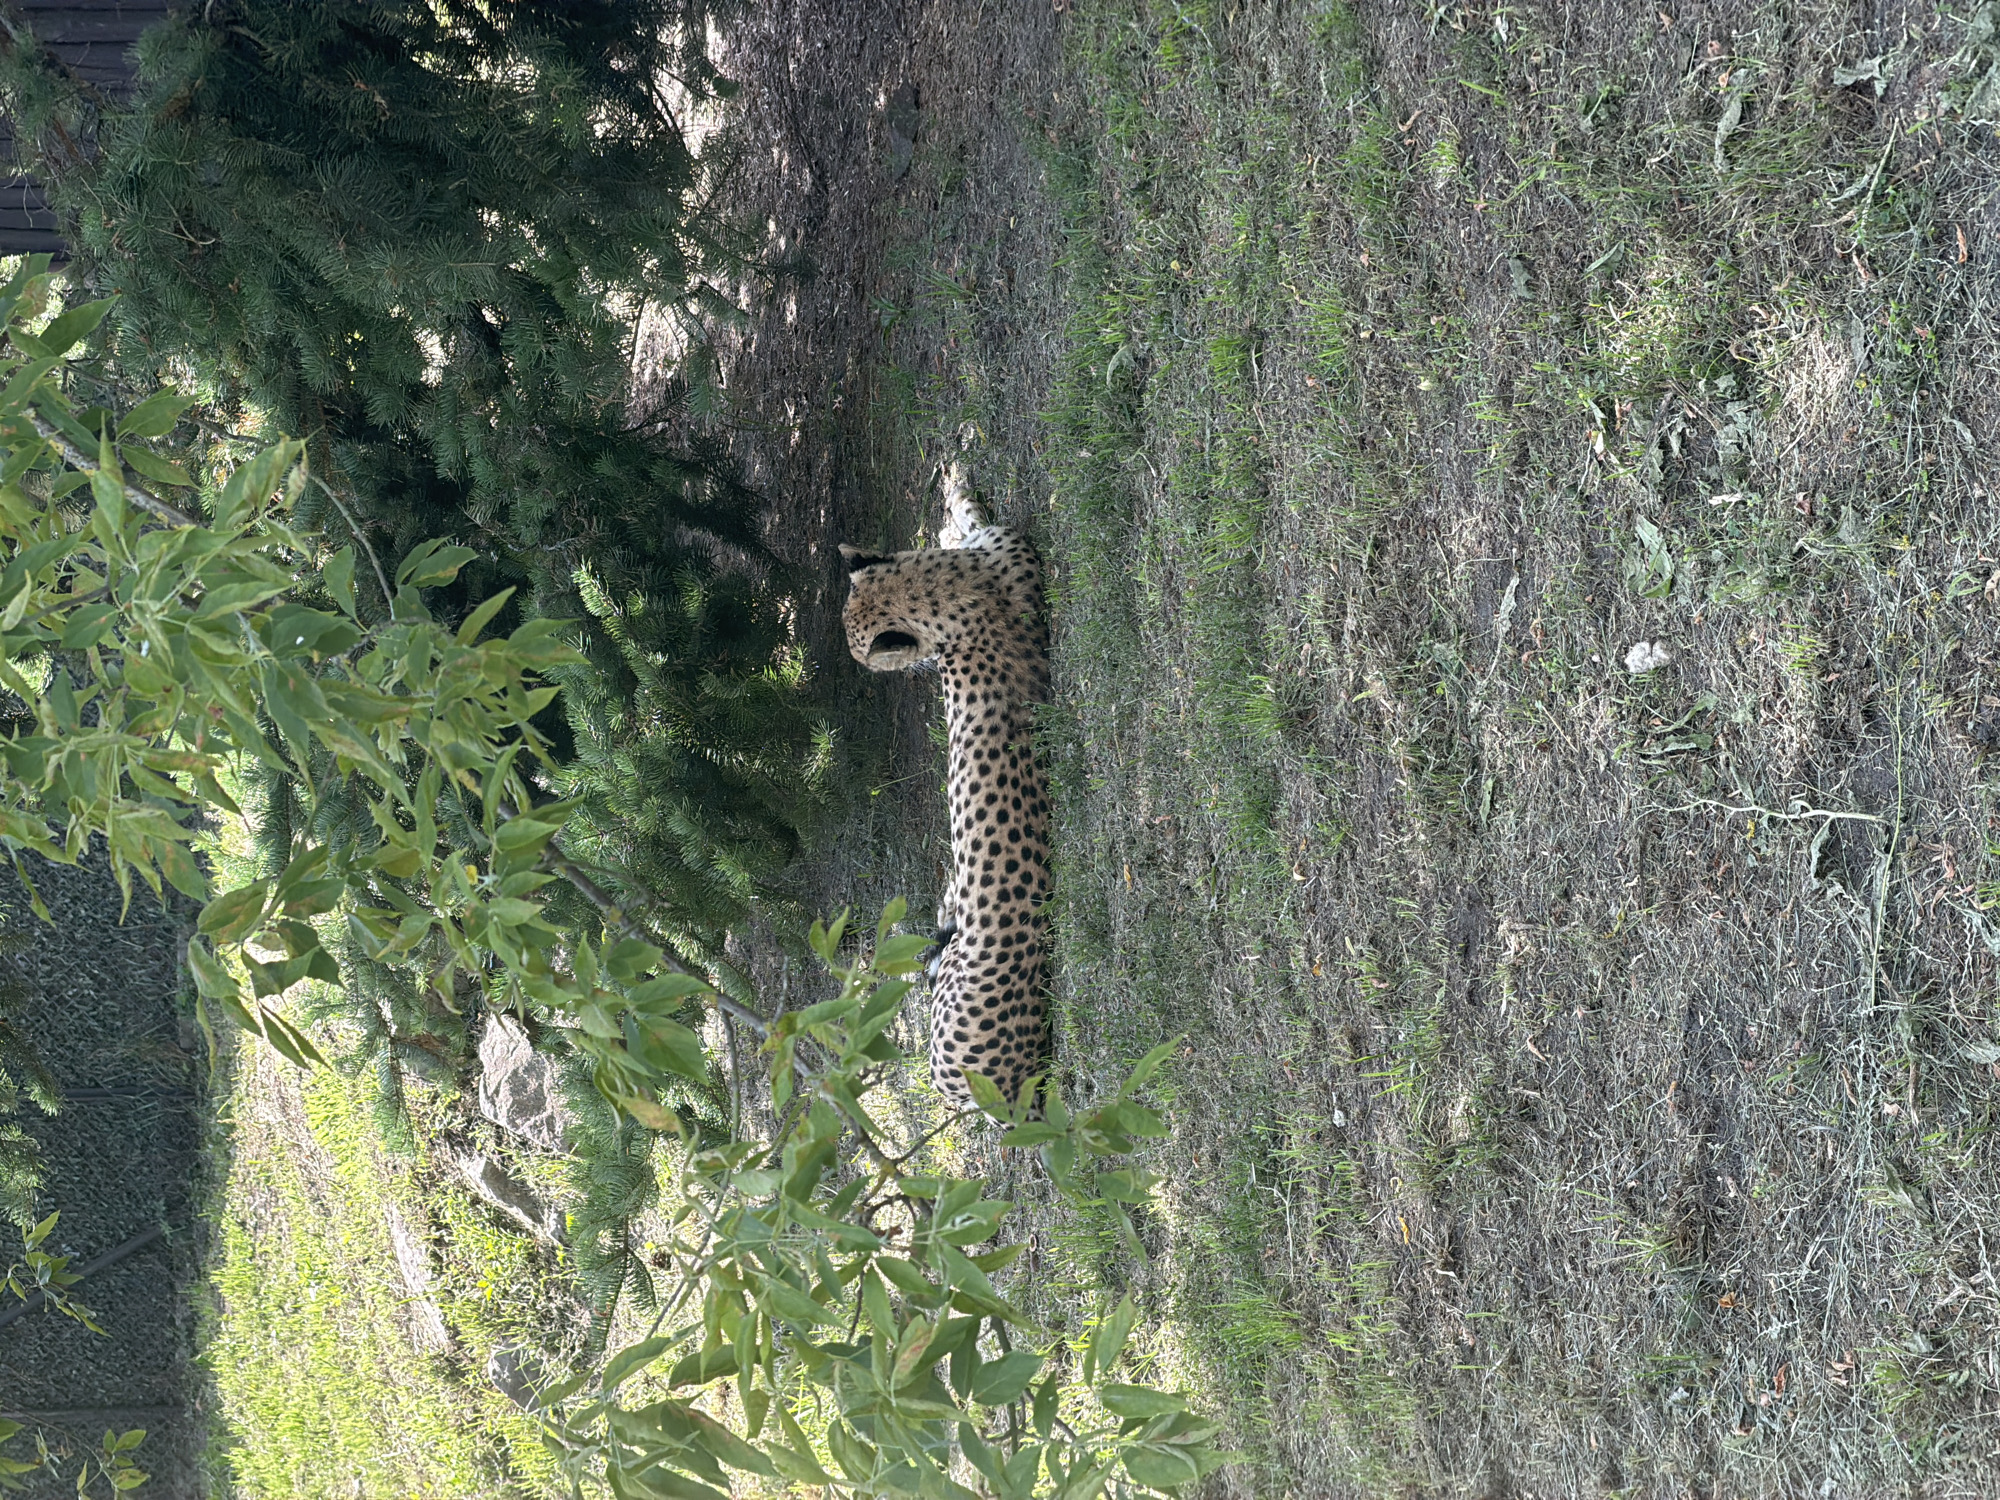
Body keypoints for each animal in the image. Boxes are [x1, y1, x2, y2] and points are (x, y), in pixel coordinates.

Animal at [840, 463, 1051, 1108]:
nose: (872, 669)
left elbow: (964, 522)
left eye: (865, 655)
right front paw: (955, 490)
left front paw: (954, 492)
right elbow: (964, 521)